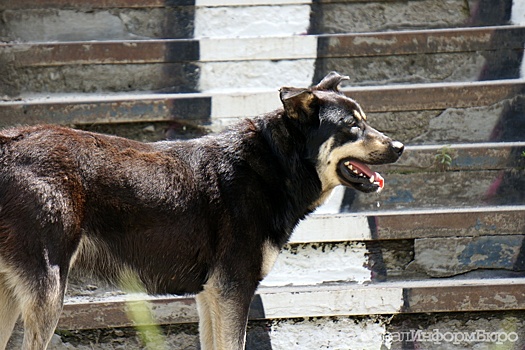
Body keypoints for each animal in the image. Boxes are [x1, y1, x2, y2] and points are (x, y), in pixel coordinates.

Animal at [0, 72, 404, 348]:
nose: (399, 146)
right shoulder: (233, 290)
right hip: (48, 291)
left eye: (365, 120)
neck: (274, 163)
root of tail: (9, 146)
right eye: (351, 126)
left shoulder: (211, 296)